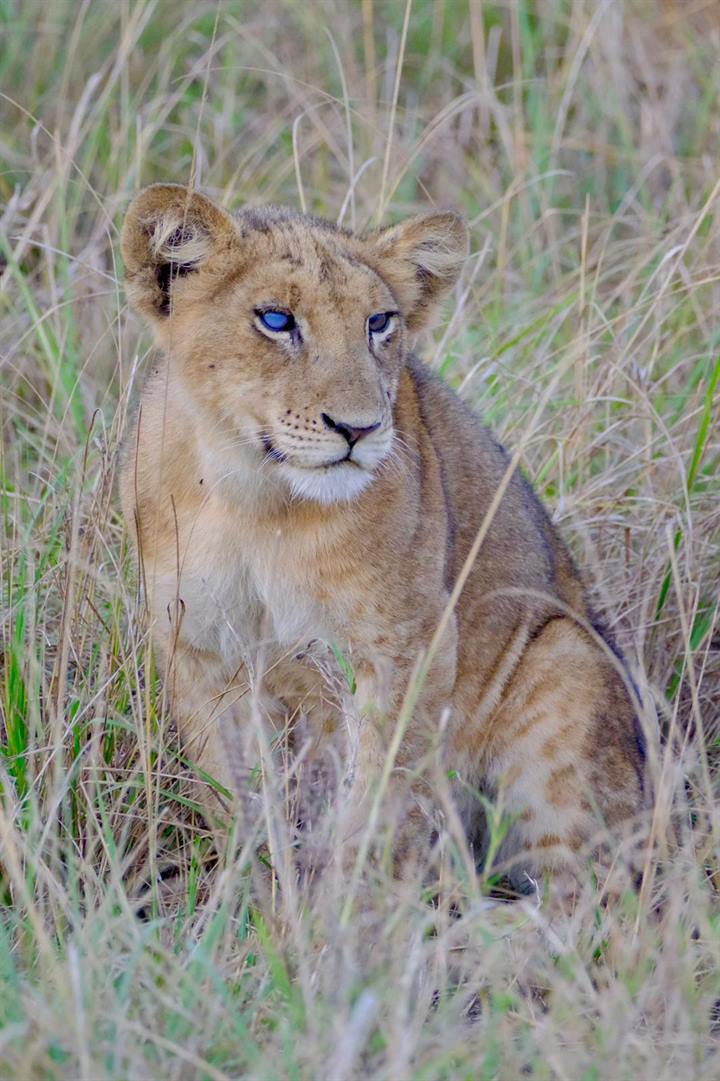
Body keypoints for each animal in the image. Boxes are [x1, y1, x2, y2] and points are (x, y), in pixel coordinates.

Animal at [120, 183, 645, 891]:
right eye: (277, 320)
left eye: (379, 323)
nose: (359, 429)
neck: (254, 499)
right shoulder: (200, 651)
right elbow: (236, 797)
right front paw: (254, 898)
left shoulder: (406, 647)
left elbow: (379, 799)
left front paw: (350, 911)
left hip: (566, 657)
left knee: (595, 893)